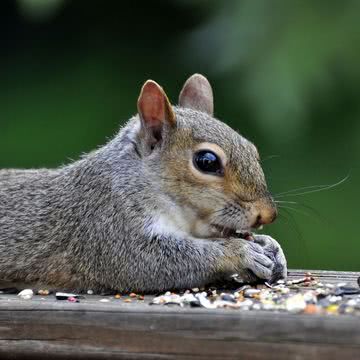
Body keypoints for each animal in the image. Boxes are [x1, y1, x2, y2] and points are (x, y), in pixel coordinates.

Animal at [0, 74, 286, 292]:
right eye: (206, 161)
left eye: (252, 149)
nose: (267, 214)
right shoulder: (108, 223)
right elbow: (146, 262)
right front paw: (240, 252)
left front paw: (271, 246)